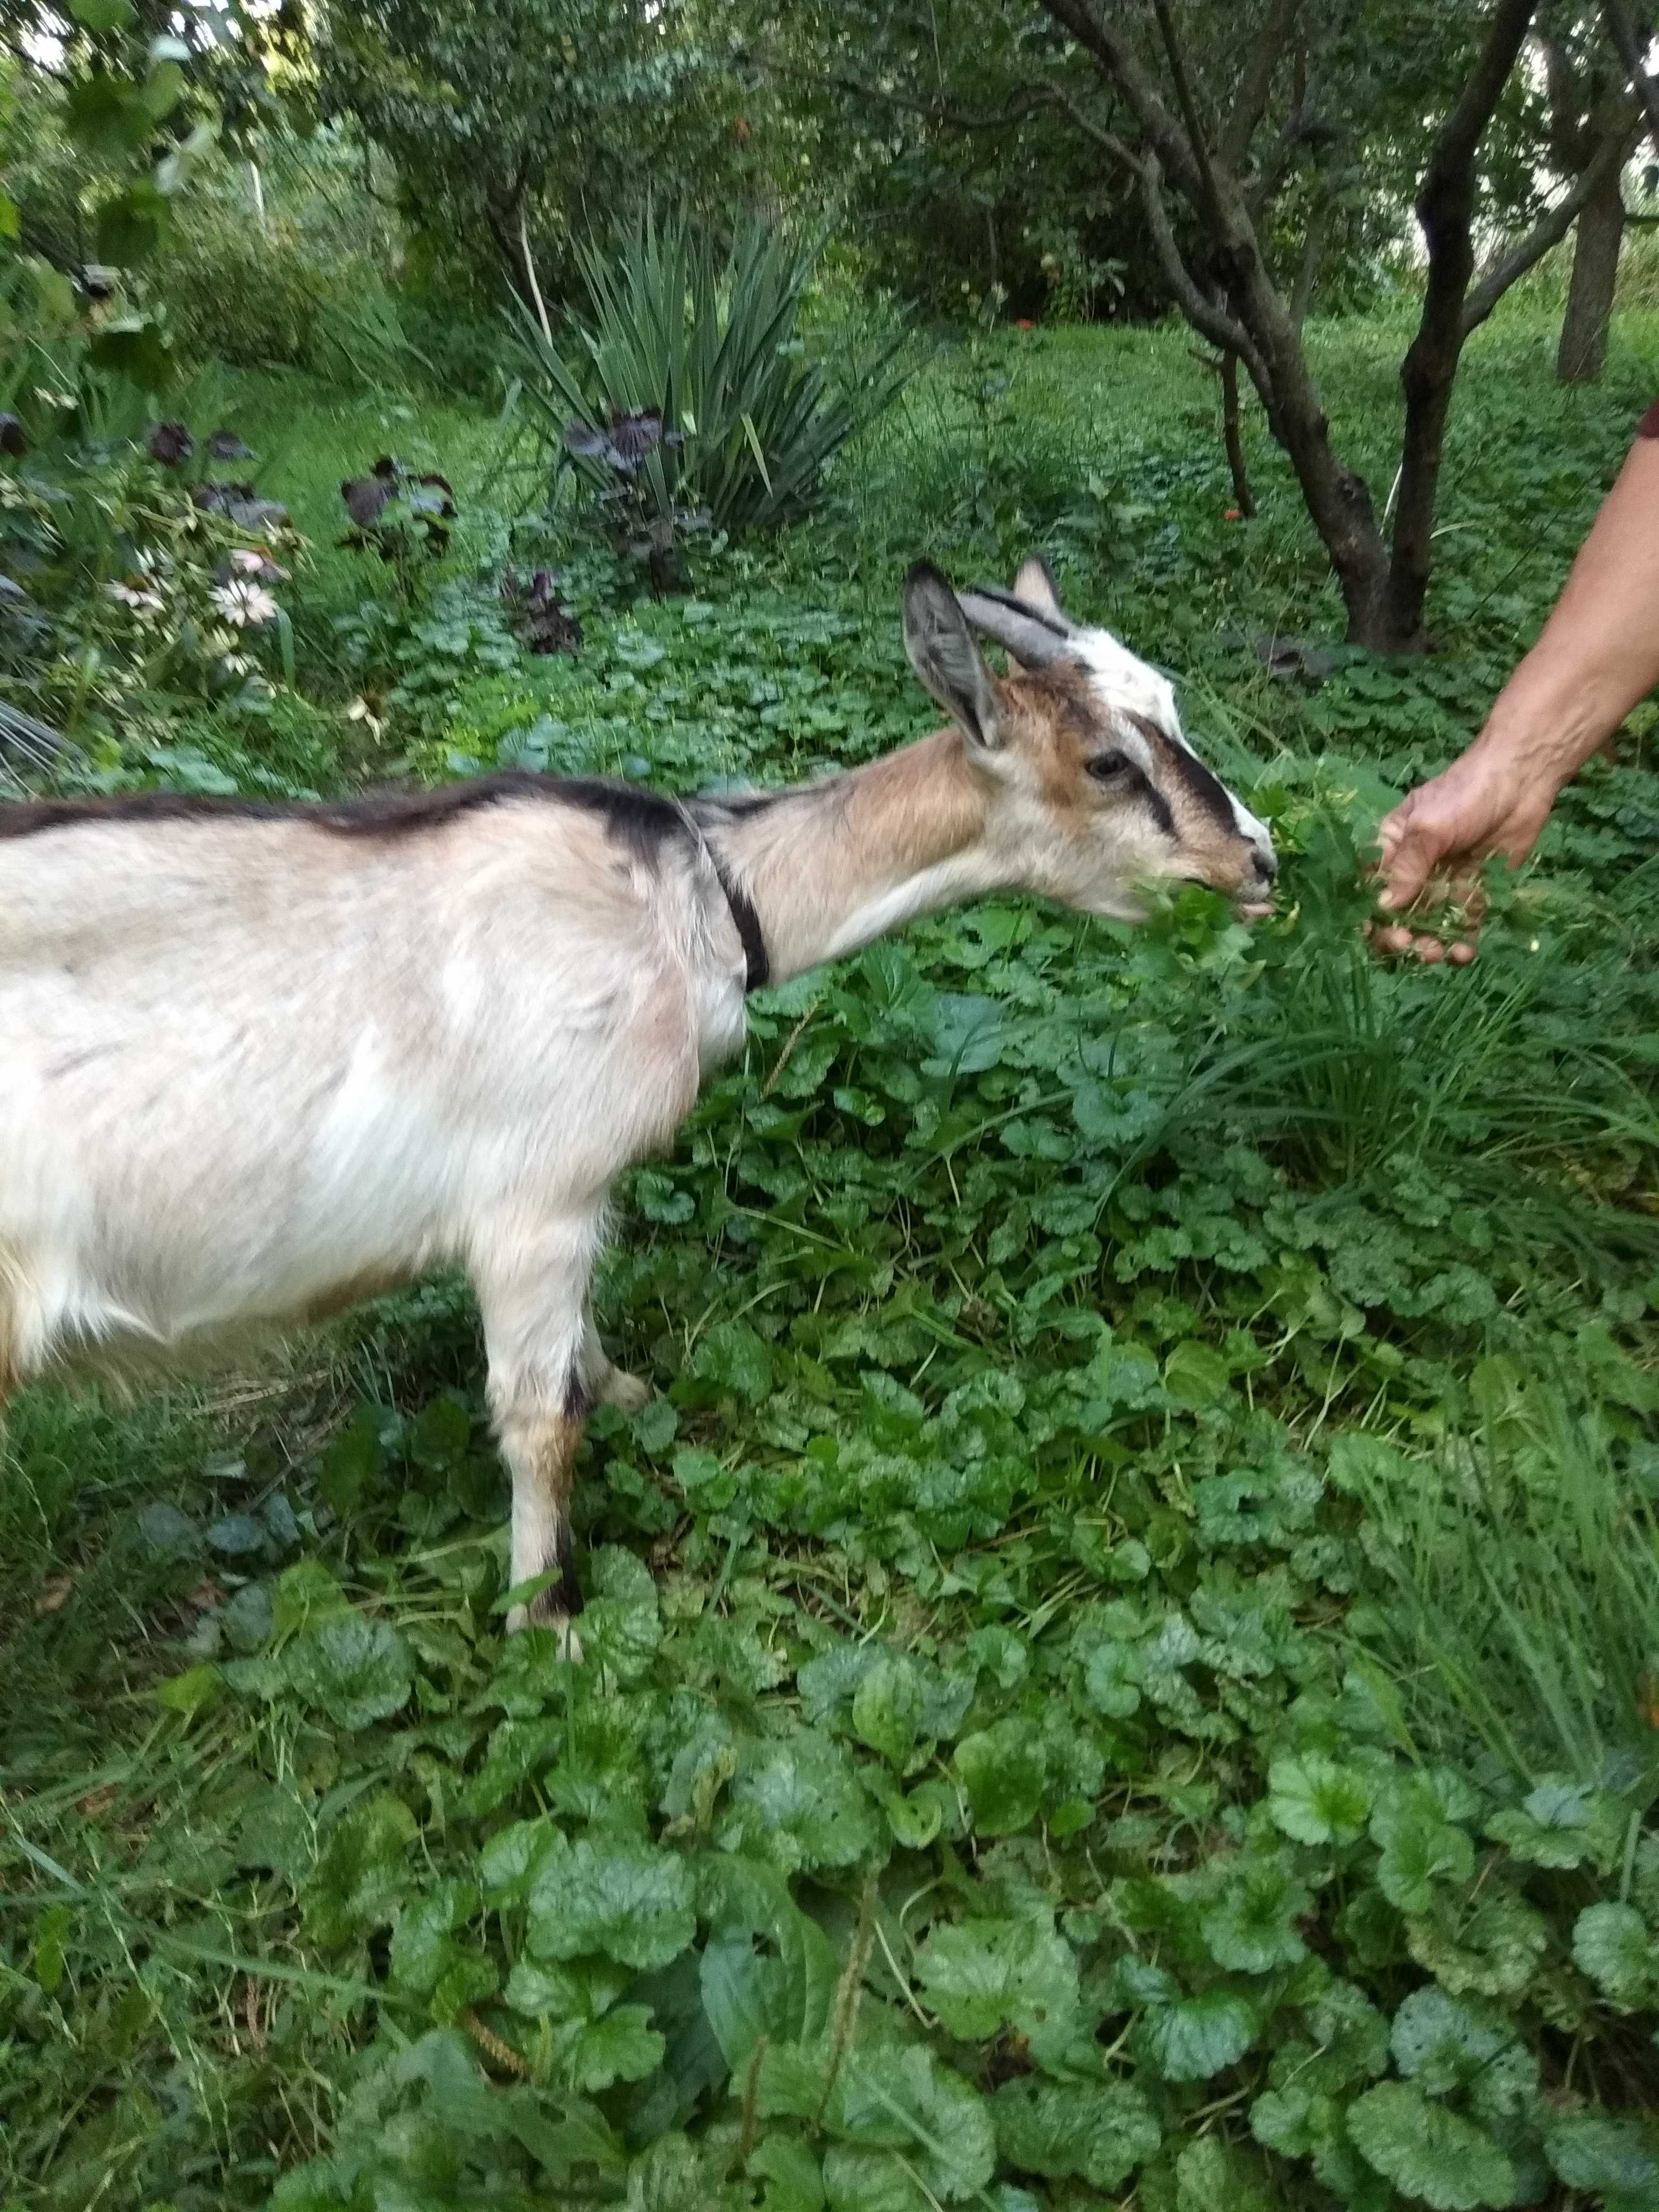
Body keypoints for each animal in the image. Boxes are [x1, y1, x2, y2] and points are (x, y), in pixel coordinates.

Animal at [3, 562, 1274, 1646]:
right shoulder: (532, 1204)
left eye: (1172, 705)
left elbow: (579, 1360)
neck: (694, 907)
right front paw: (548, 1622)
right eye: (1106, 762)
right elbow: (538, 1418)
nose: (1259, 862)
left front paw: (627, 1391)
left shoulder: (572, 1207)